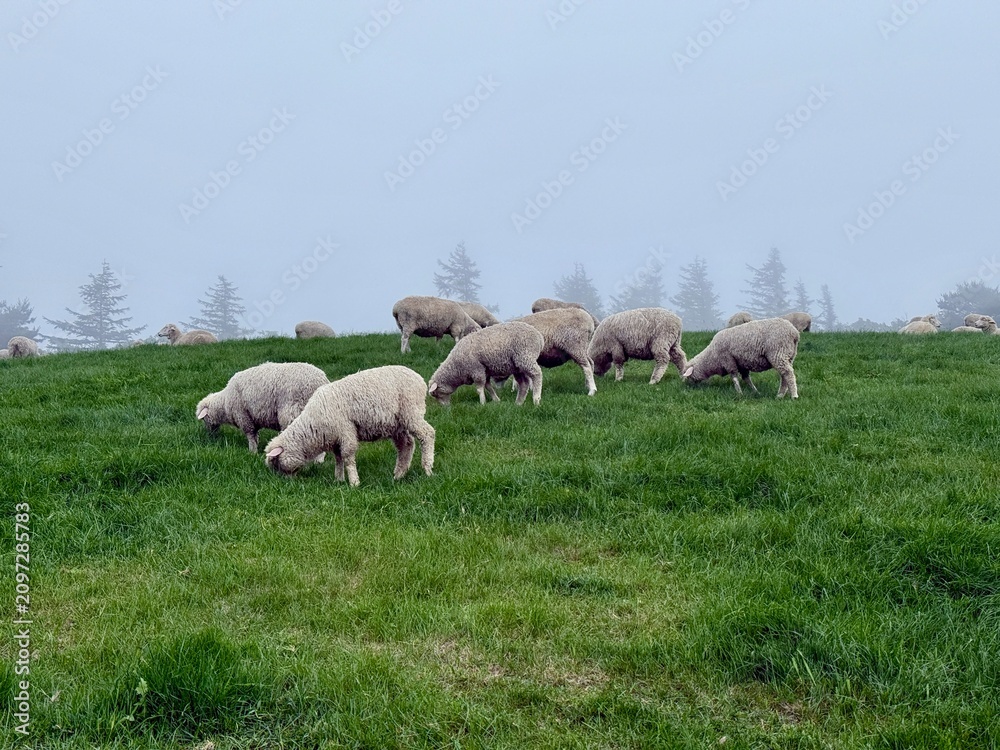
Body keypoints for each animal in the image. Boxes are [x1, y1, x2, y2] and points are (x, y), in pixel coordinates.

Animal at [197, 362, 330, 453]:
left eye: (204, 419)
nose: (210, 435)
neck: (224, 402)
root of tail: (320, 381)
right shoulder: (254, 418)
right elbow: (256, 435)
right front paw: (256, 447)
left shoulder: (244, 416)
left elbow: (250, 435)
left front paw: (252, 451)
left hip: (293, 411)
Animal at [264, 365, 434, 486]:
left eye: (277, 463)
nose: (287, 483)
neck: (313, 425)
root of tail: (419, 378)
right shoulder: (335, 438)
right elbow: (338, 458)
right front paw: (338, 479)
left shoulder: (346, 431)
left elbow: (348, 457)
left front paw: (354, 482)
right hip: (397, 424)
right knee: (406, 445)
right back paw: (399, 475)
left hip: (411, 411)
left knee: (427, 434)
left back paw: (427, 469)